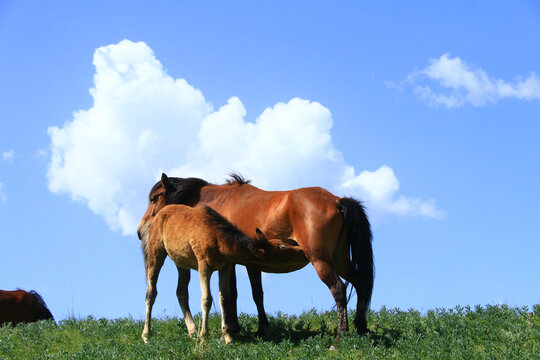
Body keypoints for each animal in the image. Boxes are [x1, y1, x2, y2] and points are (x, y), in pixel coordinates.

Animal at [141, 204, 306, 344]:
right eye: (282, 248)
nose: (303, 251)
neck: (219, 242)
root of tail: (157, 216)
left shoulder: (225, 266)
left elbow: (225, 298)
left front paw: (227, 337)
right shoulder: (204, 264)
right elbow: (207, 299)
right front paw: (204, 336)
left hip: (182, 263)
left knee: (181, 292)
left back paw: (192, 331)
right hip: (156, 253)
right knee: (151, 291)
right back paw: (146, 335)